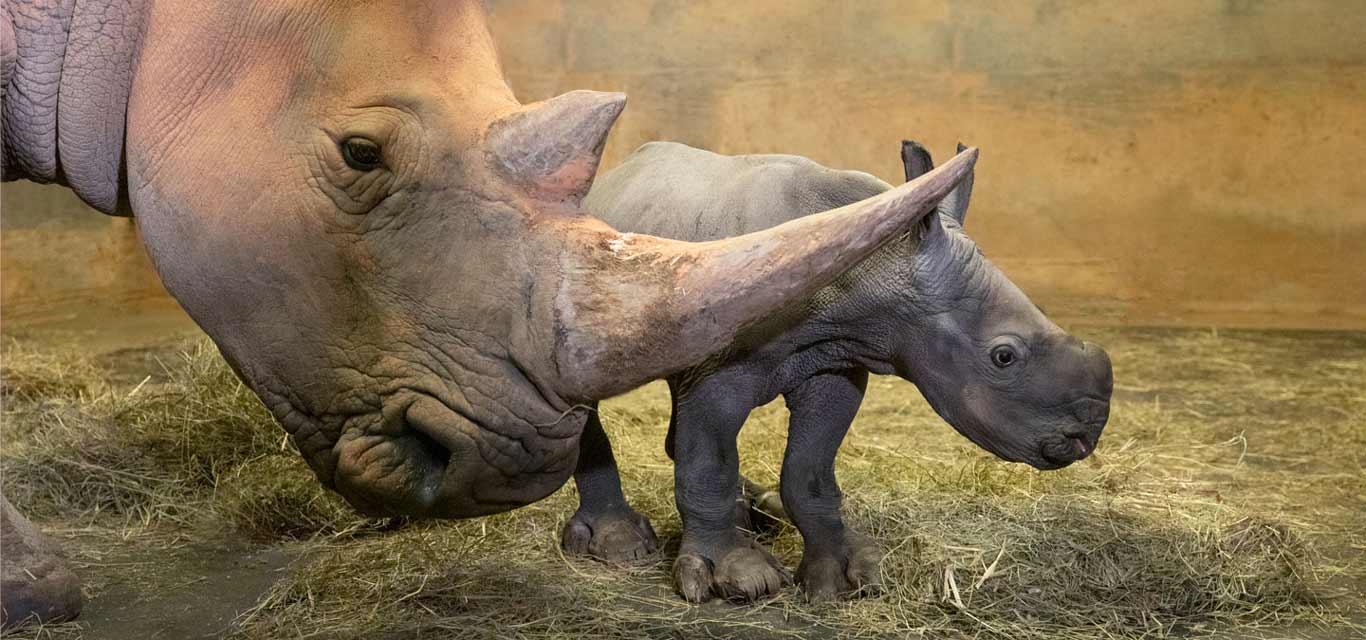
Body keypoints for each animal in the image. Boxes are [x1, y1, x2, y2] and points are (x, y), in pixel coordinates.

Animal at [568, 141, 1114, 603]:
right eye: (1004, 356)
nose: (1085, 435)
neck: (882, 265)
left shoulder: (834, 364)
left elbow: (809, 470)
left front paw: (847, 576)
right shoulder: (718, 371)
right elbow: (708, 464)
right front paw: (739, 577)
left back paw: (757, 512)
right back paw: (621, 544)